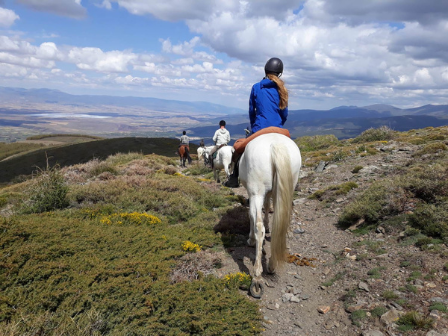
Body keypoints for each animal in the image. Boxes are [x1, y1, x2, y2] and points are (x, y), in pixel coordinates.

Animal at [242, 133, 300, 296]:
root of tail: (276, 144)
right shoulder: (269, 192)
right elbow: (268, 207)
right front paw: (268, 226)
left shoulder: (253, 194)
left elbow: (253, 217)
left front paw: (250, 239)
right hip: (284, 189)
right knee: (279, 225)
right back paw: (272, 265)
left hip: (256, 192)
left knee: (258, 226)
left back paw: (256, 277)